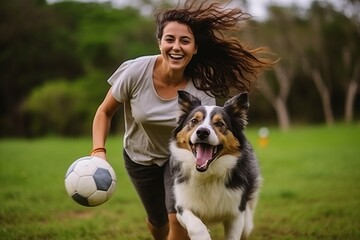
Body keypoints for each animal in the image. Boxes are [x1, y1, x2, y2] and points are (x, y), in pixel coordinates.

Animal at [169, 90, 262, 240]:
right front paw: (203, 236)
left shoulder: (236, 212)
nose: (202, 132)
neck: (208, 174)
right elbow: (195, 225)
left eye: (219, 123)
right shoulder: (182, 205)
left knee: (247, 226)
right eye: (194, 121)